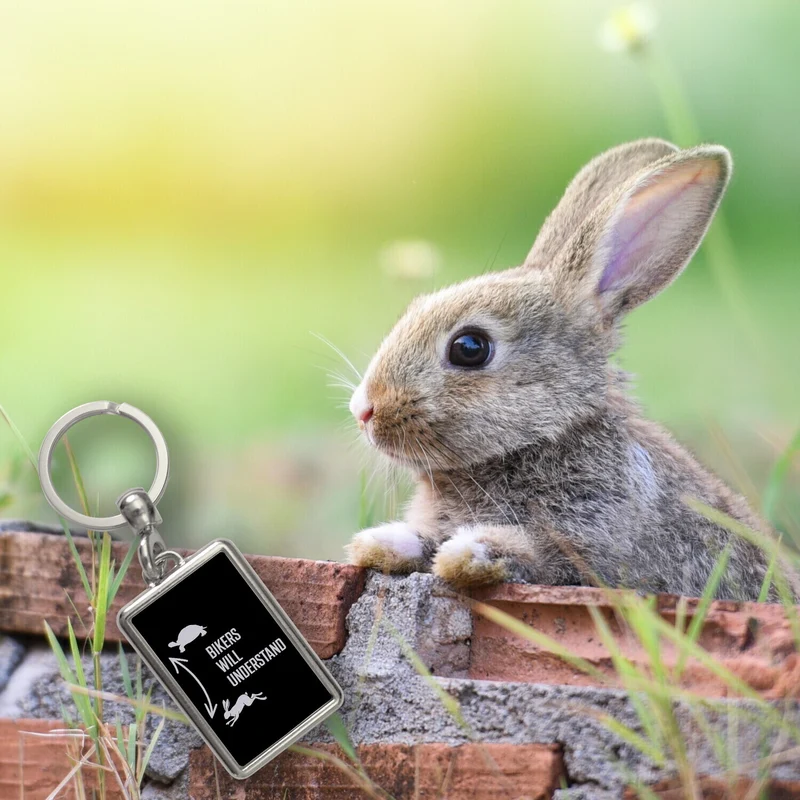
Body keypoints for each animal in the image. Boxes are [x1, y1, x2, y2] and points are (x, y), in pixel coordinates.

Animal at [345, 138, 782, 601]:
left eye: (470, 348)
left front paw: (469, 553)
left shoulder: (591, 543)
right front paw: (381, 542)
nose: (363, 410)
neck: (547, 436)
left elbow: (535, 554)